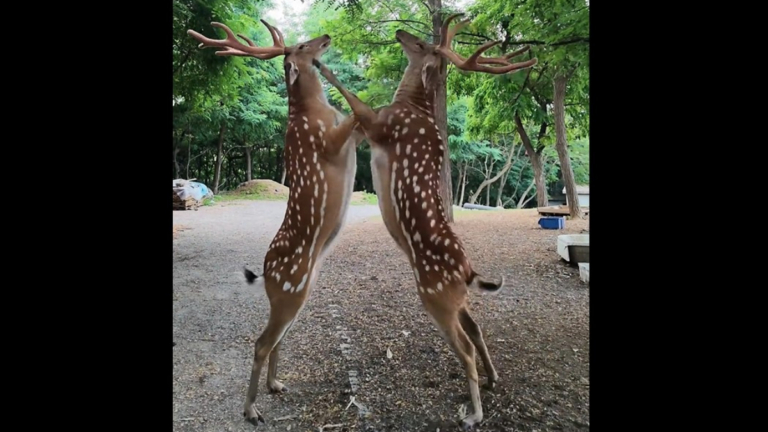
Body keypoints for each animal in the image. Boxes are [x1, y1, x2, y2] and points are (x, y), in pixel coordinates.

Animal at [187, 19, 363, 426]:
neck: (314, 111)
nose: (325, 38)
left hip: (297, 293)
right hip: (290, 291)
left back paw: (276, 385)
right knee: (261, 342)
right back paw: (252, 410)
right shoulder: (326, 141)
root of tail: (267, 273)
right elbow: (354, 118)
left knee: (277, 339)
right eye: (301, 45)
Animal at [312, 12, 537, 430]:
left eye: (421, 45)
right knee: (476, 328)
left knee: (464, 346)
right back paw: (494, 379)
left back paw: (473, 413)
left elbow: (357, 101)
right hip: (455, 299)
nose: (401, 32)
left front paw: (320, 63)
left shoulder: (382, 125)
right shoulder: (372, 129)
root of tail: (469, 272)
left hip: (436, 296)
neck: (411, 105)